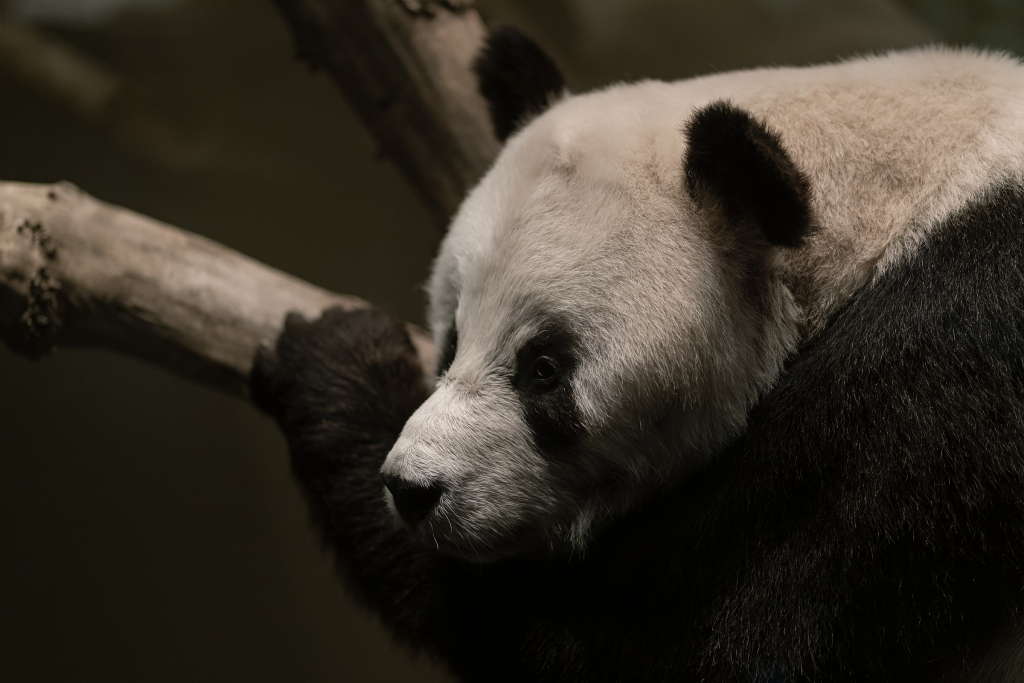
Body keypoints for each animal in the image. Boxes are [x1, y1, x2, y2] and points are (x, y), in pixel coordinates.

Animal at [251, 26, 1024, 683]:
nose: (412, 489)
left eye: (545, 369)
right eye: (450, 336)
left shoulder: (935, 401)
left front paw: (338, 359)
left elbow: (674, 644)